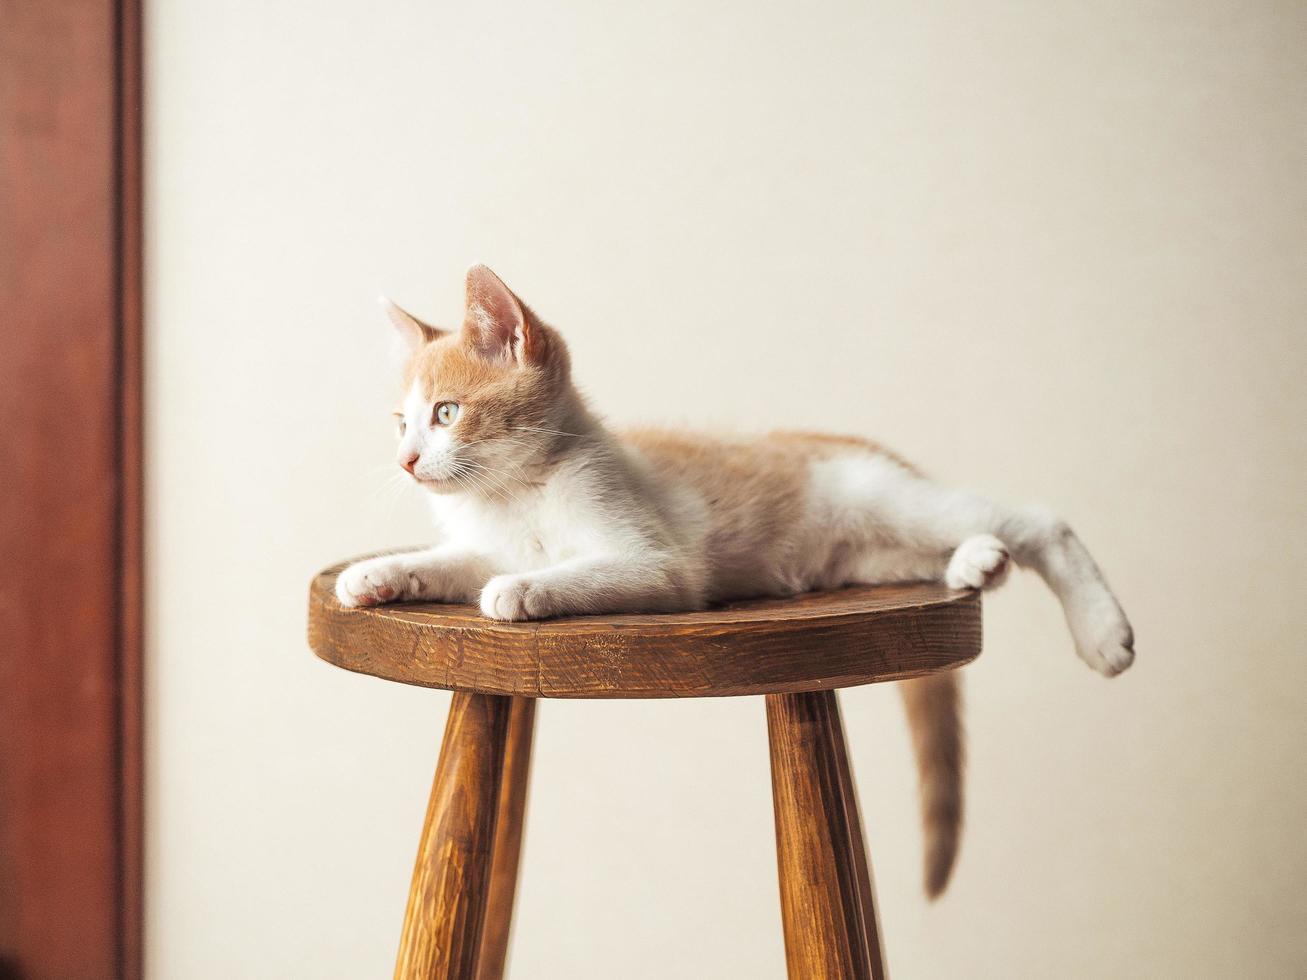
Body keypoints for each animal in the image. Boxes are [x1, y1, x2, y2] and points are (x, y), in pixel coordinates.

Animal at [334, 265, 1134, 904]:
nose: (407, 461)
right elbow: (455, 561)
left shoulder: (656, 562)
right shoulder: (482, 542)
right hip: (869, 556)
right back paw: (977, 564)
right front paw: (379, 574)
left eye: (446, 414)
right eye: (401, 422)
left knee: (1038, 521)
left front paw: (523, 590)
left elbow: (568, 574)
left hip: (892, 502)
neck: (513, 495)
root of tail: (857, 445)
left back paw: (1100, 630)